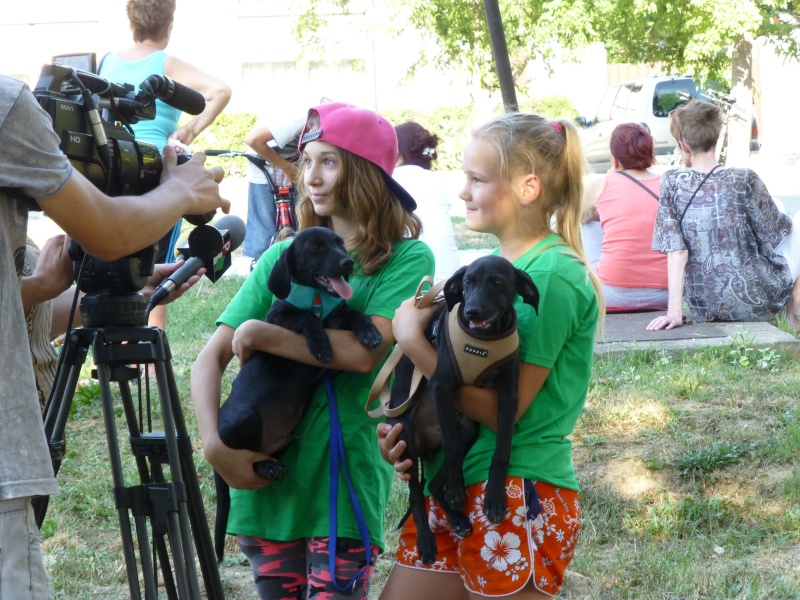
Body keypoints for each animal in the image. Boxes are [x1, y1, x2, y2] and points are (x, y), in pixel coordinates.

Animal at [214, 225, 382, 564]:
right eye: (315, 248)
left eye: (340, 244)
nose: (347, 263)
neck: (317, 299)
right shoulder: (277, 318)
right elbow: (304, 318)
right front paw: (320, 345)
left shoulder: (339, 315)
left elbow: (354, 313)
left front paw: (369, 331)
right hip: (242, 418)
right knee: (246, 459)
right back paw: (265, 467)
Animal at [386, 255, 536, 564]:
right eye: (467, 282)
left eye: (497, 282)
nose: (472, 311)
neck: (484, 342)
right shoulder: (442, 387)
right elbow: (453, 450)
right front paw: (457, 489)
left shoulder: (509, 396)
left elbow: (501, 450)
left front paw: (494, 499)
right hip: (404, 436)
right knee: (416, 494)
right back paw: (427, 541)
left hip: (467, 427)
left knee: (433, 485)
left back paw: (457, 520)